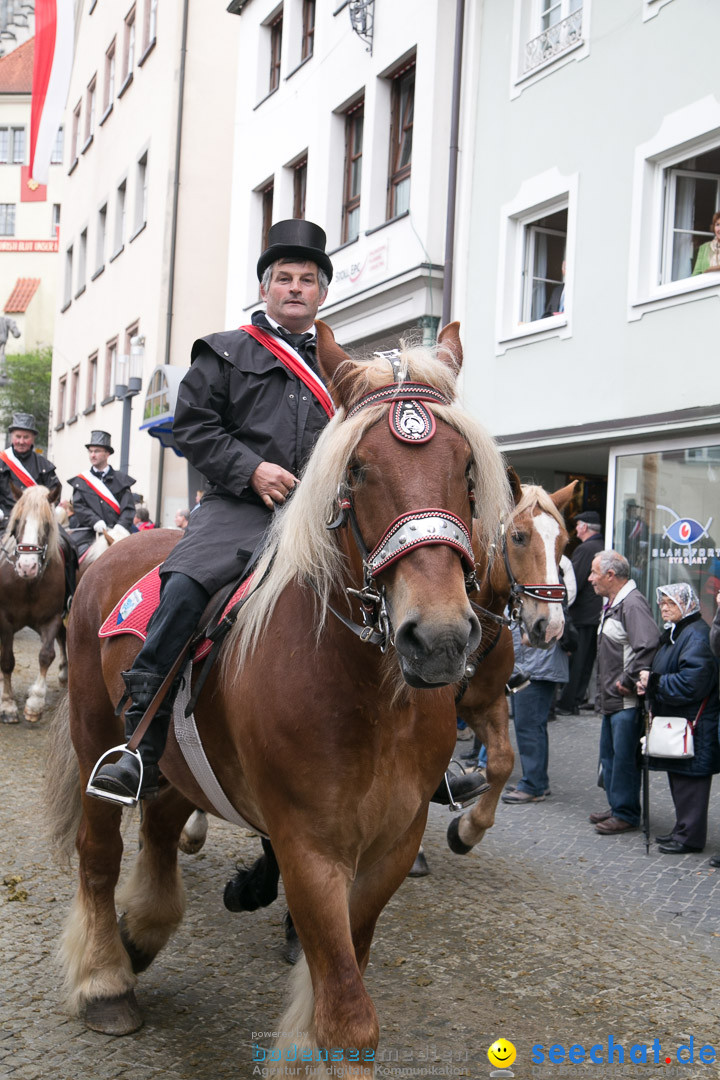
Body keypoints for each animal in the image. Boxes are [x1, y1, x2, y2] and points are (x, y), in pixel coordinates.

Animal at [0, 483, 67, 721]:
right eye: (18, 521)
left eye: (46, 524)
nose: (27, 567)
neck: (29, 583)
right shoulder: (5, 621)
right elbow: (7, 661)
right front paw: (7, 704)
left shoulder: (52, 618)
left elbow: (47, 655)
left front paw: (35, 703)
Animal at [45, 319, 509, 1071]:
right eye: (358, 470)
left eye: (466, 467)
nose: (438, 638)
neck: (373, 701)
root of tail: (107, 555)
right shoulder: (307, 847)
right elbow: (347, 1016)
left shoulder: (392, 844)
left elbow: (343, 976)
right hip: (95, 739)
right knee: (98, 854)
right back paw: (105, 982)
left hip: (180, 760)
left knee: (161, 827)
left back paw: (143, 930)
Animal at [446, 477, 578, 855]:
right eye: (518, 537)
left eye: (564, 543)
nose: (551, 627)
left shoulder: (485, 703)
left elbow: (502, 761)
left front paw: (468, 829)